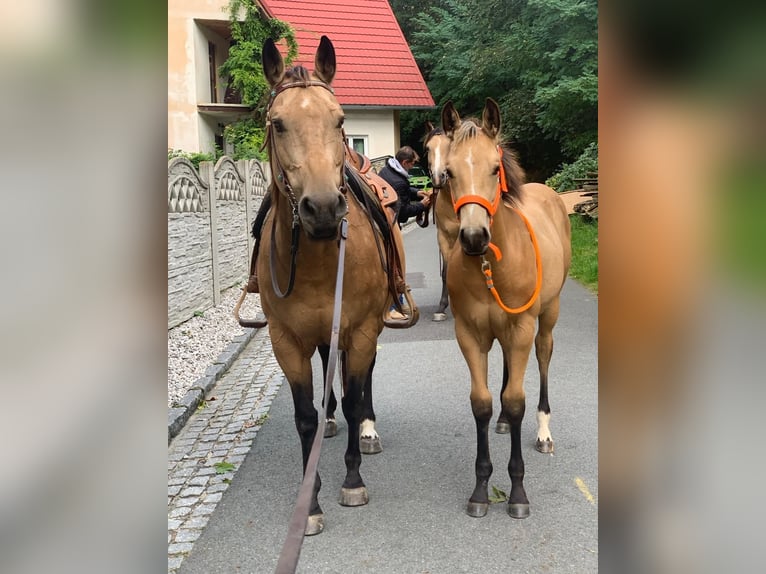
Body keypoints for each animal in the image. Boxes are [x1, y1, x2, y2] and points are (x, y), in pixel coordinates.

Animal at [250, 38, 420, 536]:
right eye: (277, 123)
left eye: (340, 120)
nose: (323, 208)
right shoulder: (287, 341)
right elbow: (305, 416)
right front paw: (310, 502)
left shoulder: (360, 330)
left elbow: (355, 396)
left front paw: (352, 480)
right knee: (330, 369)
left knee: (360, 383)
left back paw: (367, 429)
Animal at [440, 99, 572, 520]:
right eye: (449, 172)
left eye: (494, 169)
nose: (473, 238)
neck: (492, 265)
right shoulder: (469, 334)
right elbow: (481, 403)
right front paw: (481, 488)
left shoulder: (522, 329)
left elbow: (516, 402)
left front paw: (517, 491)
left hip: (546, 319)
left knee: (543, 358)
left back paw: (544, 432)